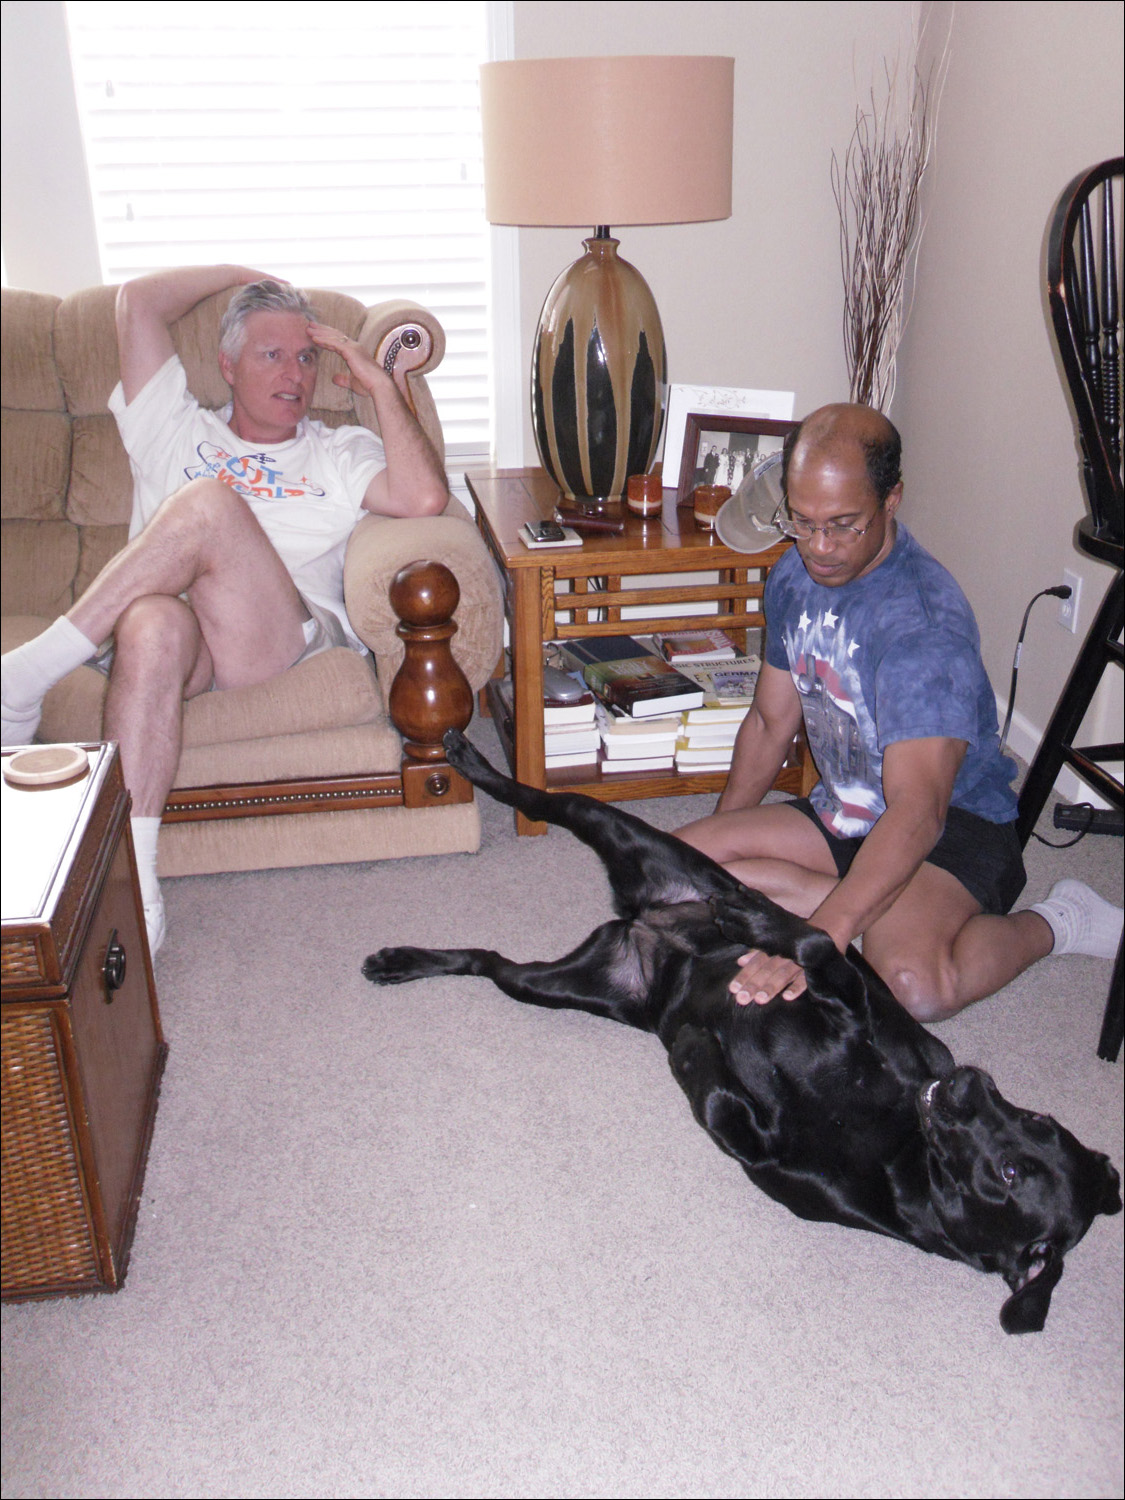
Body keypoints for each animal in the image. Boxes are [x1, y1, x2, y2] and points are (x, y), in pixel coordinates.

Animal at [366, 732, 1122, 1332]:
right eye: (1038, 1118)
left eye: (1012, 1169)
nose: (967, 1079)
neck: (902, 1142)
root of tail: (645, 920)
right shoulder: (861, 1006)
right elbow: (817, 945)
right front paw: (763, 928)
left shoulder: (773, 1163)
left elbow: (728, 1110)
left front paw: (699, 1048)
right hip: (629, 833)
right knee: (541, 799)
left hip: (563, 985)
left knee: (489, 960)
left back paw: (408, 956)